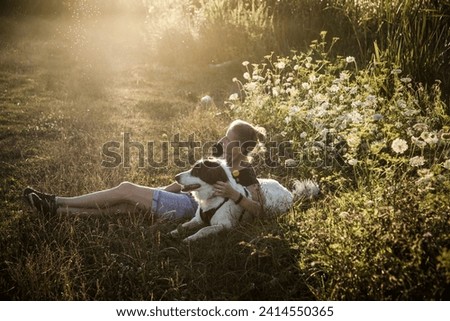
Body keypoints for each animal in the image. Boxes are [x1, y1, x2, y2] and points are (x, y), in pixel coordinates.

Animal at [170, 156, 320, 241]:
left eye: (196, 171)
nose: (176, 177)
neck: (212, 197)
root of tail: (289, 193)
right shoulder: (198, 219)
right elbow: (184, 225)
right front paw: (175, 232)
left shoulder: (225, 225)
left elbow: (204, 229)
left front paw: (190, 238)